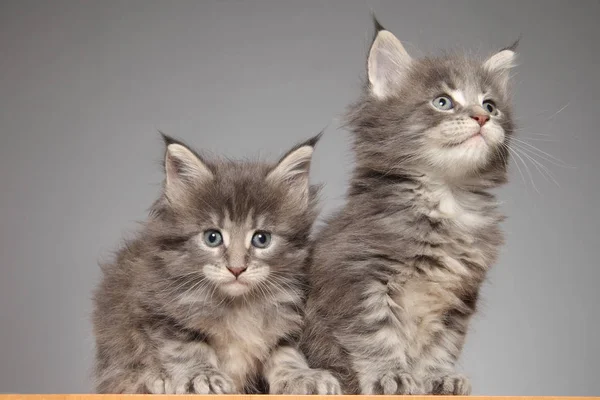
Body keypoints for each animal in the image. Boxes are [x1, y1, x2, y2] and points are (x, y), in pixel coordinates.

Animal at [91, 134, 340, 394]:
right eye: (212, 237)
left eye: (262, 239)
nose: (237, 268)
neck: (238, 306)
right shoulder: (156, 311)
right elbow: (187, 349)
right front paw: (201, 377)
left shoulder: (287, 317)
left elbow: (285, 353)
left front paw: (302, 376)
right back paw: (157, 378)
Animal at [302, 18, 516, 394]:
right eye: (443, 102)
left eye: (490, 105)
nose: (482, 118)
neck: (447, 197)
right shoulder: (359, 276)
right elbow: (376, 335)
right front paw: (392, 376)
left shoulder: (459, 299)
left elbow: (442, 344)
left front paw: (437, 377)